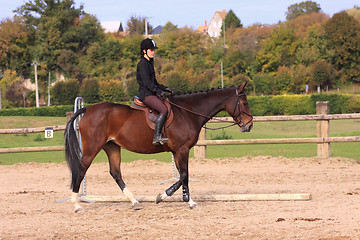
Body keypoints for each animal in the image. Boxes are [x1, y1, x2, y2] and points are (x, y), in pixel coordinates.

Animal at [64, 81, 253, 211]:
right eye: (244, 103)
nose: (249, 125)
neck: (187, 112)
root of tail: (87, 110)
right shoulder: (182, 150)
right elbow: (184, 175)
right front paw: (187, 201)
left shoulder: (177, 151)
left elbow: (182, 176)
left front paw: (164, 196)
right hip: (92, 148)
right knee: (81, 170)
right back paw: (76, 204)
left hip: (112, 147)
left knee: (116, 173)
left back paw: (134, 202)